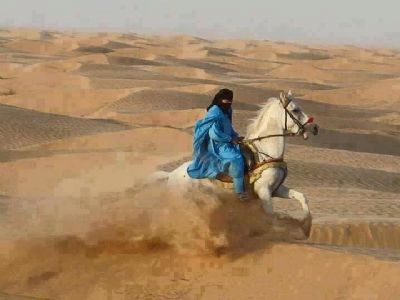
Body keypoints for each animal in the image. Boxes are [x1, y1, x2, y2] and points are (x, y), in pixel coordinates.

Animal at [150, 91, 318, 223]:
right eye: (295, 110)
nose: (315, 127)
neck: (265, 153)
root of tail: (171, 174)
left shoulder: (276, 189)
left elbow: (301, 196)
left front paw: (307, 224)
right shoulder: (263, 190)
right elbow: (271, 215)